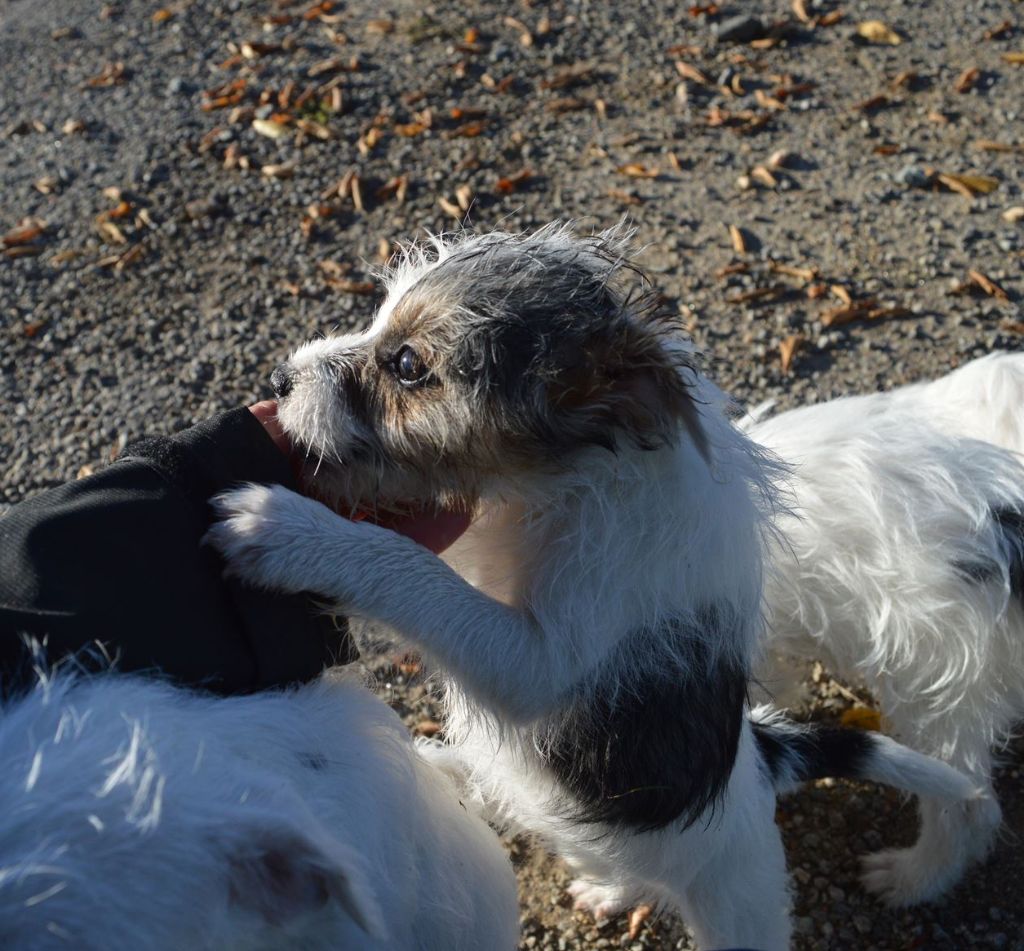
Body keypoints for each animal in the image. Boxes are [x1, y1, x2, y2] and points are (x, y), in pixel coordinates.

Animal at [208, 224, 982, 949]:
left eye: (406, 364)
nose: (278, 380)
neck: (551, 495)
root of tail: (765, 760)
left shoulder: (541, 659)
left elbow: (416, 573)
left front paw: (289, 532)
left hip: (740, 894)